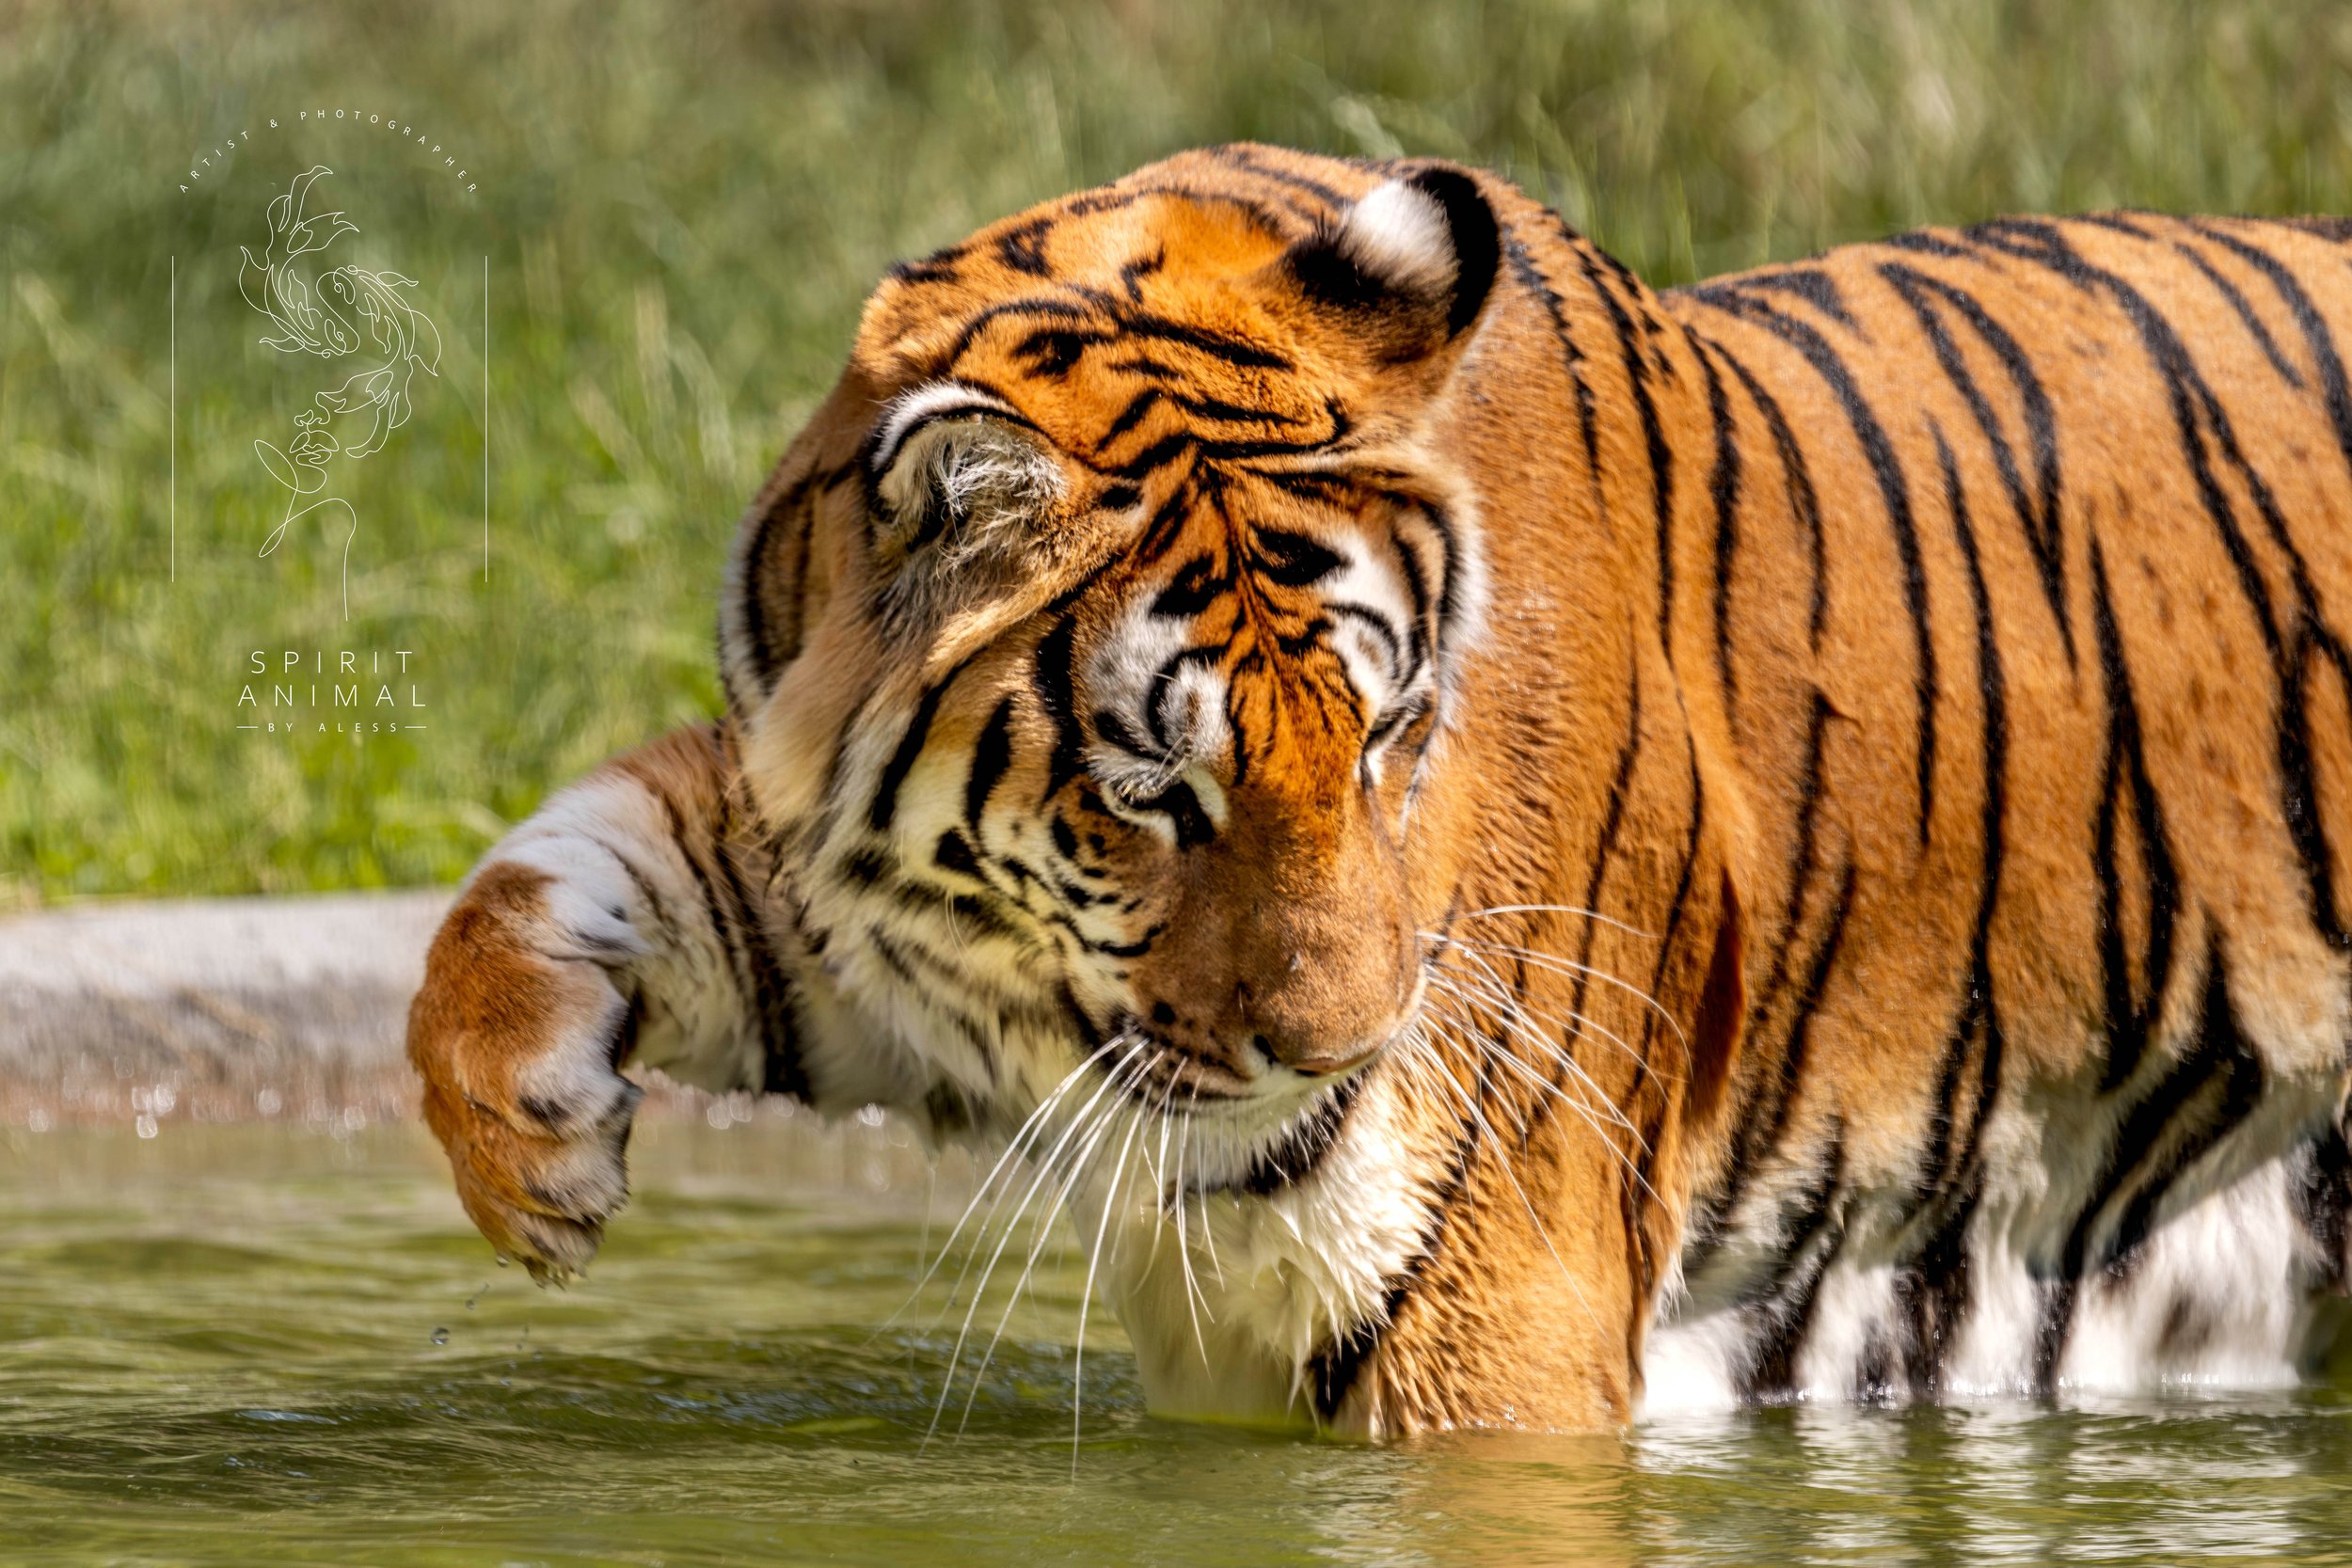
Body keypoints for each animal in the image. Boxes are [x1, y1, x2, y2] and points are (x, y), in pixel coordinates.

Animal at [406, 143, 2352, 1434]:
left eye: (1385, 729)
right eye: (1152, 789)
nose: (1339, 1055)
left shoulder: (1495, 1294)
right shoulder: (855, 899)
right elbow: (573, 858)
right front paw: (533, 1138)